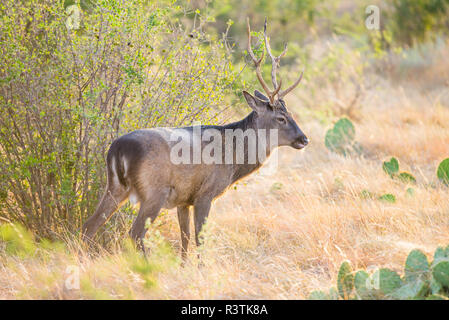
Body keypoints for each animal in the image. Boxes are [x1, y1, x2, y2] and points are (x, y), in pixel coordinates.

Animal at [81, 17, 308, 258]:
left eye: (291, 114)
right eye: (281, 118)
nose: (304, 139)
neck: (232, 158)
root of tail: (117, 150)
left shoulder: (184, 200)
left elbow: (185, 239)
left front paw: (183, 264)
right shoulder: (205, 194)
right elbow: (200, 239)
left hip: (115, 187)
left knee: (89, 226)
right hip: (154, 191)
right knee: (135, 233)